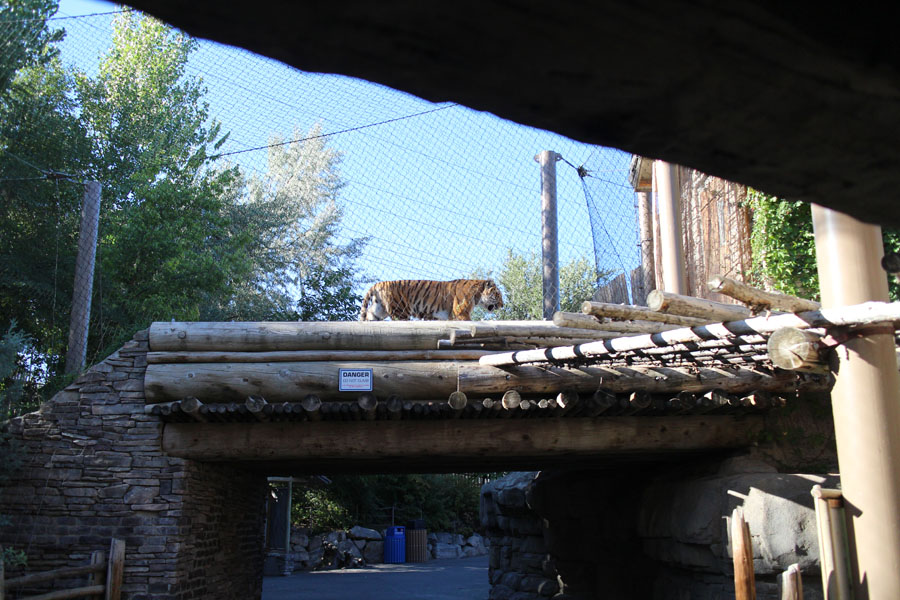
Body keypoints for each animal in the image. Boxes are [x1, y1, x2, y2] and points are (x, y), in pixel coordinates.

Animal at [359, 279, 504, 321]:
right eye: (498, 295)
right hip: (401, 312)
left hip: (377, 312)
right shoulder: (461, 311)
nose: (502, 305)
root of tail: (379, 284)